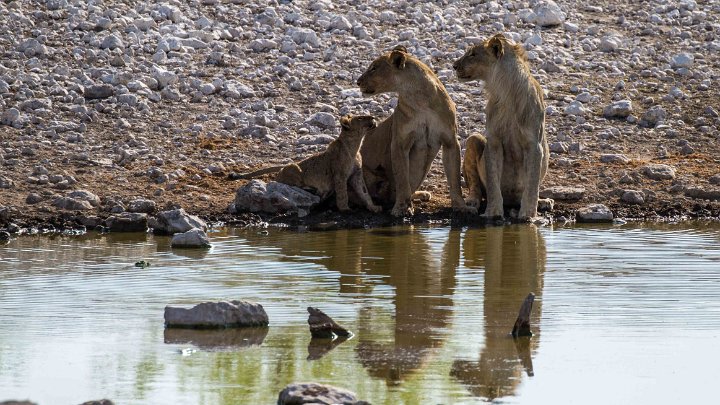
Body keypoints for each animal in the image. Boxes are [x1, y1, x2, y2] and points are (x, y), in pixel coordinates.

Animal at [358, 45, 476, 216]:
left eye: (374, 68)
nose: (358, 81)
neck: (419, 98)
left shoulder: (451, 141)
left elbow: (454, 179)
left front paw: (462, 207)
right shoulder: (399, 143)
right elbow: (402, 178)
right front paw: (401, 208)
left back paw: (421, 194)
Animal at [452, 32, 548, 219]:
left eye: (473, 54)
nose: (454, 65)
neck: (506, 92)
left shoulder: (534, 144)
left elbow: (532, 183)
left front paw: (528, 214)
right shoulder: (494, 141)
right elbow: (493, 182)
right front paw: (493, 212)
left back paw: (545, 201)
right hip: (473, 139)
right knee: (475, 186)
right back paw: (471, 201)